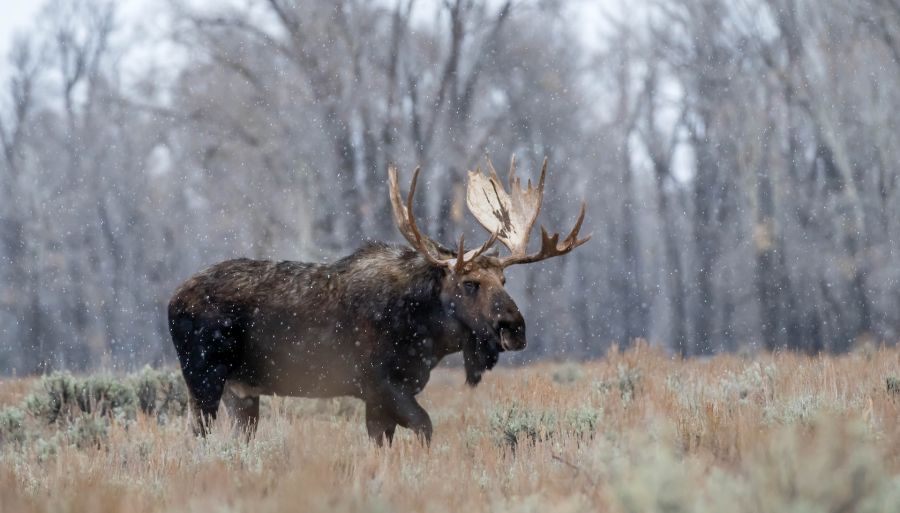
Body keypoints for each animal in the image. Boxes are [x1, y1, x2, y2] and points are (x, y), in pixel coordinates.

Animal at [169, 158, 592, 442]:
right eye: (470, 283)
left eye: (504, 279)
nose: (515, 329)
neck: (428, 335)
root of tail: (172, 300)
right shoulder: (380, 385)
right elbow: (425, 427)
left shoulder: (384, 396)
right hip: (203, 379)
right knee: (197, 434)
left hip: (241, 393)